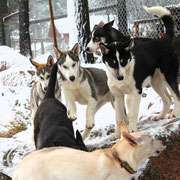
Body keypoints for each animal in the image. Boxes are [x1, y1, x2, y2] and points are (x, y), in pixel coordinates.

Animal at [100, 5, 180, 138]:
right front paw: (117, 134)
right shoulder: (118, 96)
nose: (120, 78)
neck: (126, 72)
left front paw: (132, 130)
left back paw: (175, 113)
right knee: (167, 99)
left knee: (176, 95)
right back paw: (160, 116)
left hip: (168, 75)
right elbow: (118, 117)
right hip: (155, 82)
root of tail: (163, 40)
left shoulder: (136, 92)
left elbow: (132, 113)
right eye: (112, 63)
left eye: (123, 61)